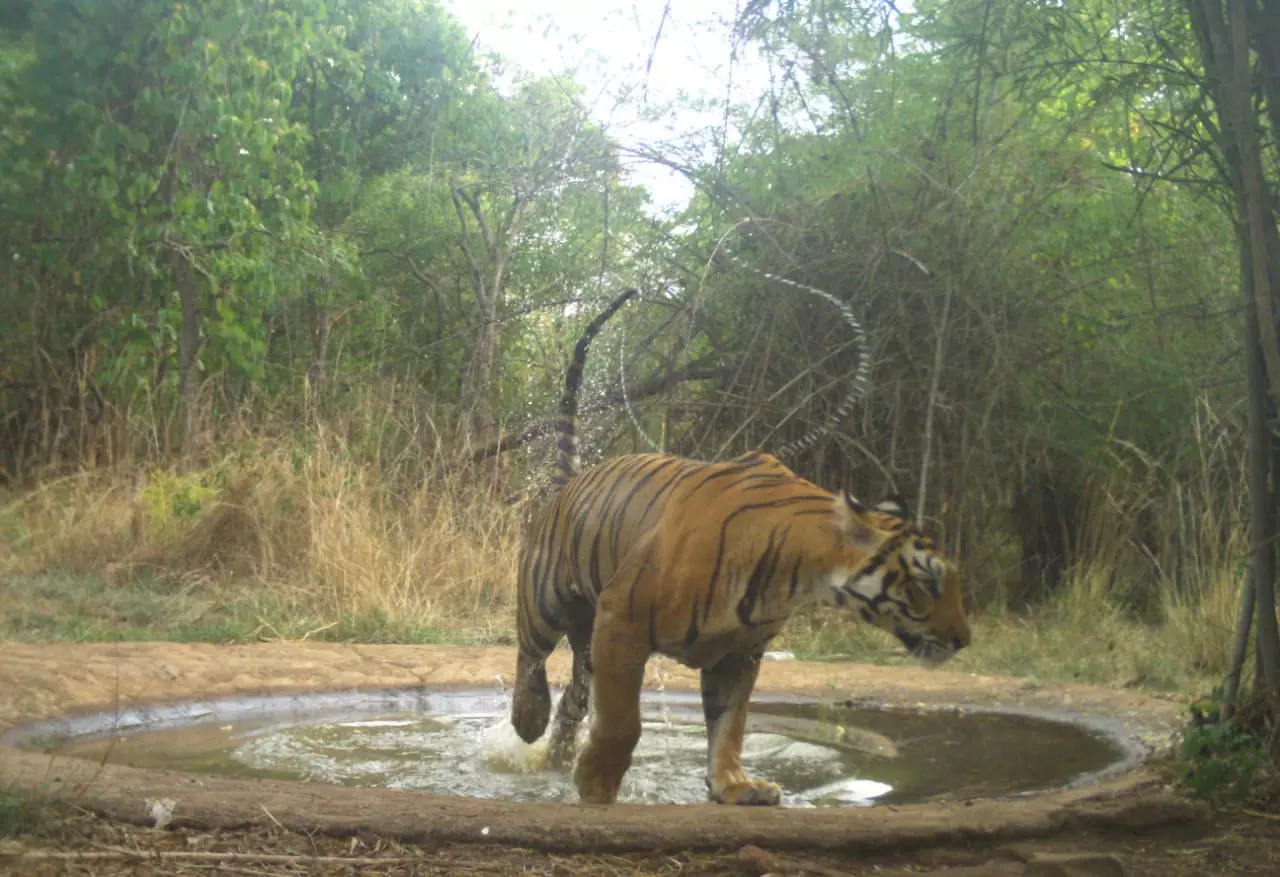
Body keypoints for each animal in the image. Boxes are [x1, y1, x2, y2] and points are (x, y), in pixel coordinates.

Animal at [510, 286, 970, 807]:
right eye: (927, 581)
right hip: (548, 602)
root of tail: (569, 482)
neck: (798, 573)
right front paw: (597, 786)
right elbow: (624, 722)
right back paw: (528, 719)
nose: (964, 639)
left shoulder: (739, 652)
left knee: (574, 700)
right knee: (530, 656)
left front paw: (735, 786)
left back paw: (553, 759)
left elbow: (730, 723)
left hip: (588, 639)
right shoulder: (622, 619)